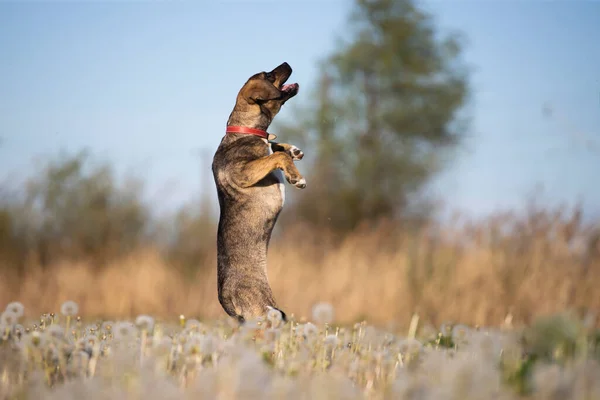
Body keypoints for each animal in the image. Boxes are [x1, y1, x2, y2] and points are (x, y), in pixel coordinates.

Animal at [211, 62, 304, 324]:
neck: (246, 130)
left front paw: (292, 149)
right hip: (263, 313)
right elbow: (276, 156)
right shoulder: (245, 172)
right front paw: (296, 177)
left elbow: (275, 147)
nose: (287, 63)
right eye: (269, 76)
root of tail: (228, 304)